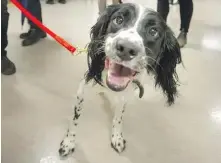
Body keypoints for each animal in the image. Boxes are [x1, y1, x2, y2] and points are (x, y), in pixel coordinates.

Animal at [58, 3, 181, 157]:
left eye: (154, 31)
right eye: (118, 19)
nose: (127, 48)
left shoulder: (125, 95)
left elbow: (118, 118)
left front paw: (116, 137)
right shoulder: (82, 90)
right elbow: (75, 120)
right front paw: (68, 142)